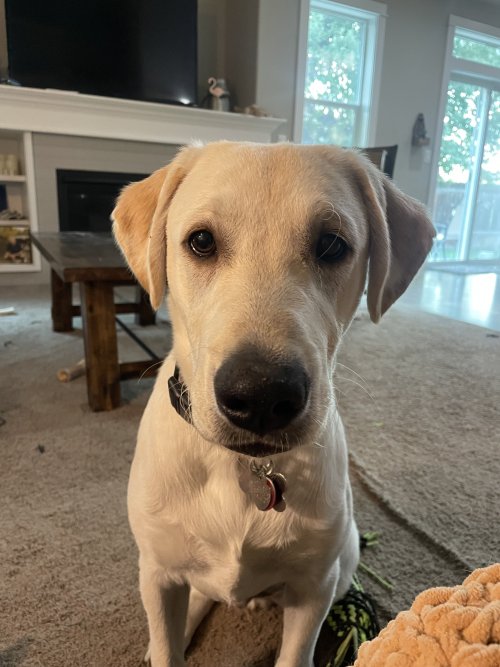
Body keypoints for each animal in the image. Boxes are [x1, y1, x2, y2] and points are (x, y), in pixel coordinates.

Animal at [112, 141, 435, 667]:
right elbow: (167, 642)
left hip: (343, 557)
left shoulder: (313, 588)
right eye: (201, 241)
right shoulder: (157, 575)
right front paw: (165, 643)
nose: (261, 394)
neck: (241, 466)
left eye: (332, 245)